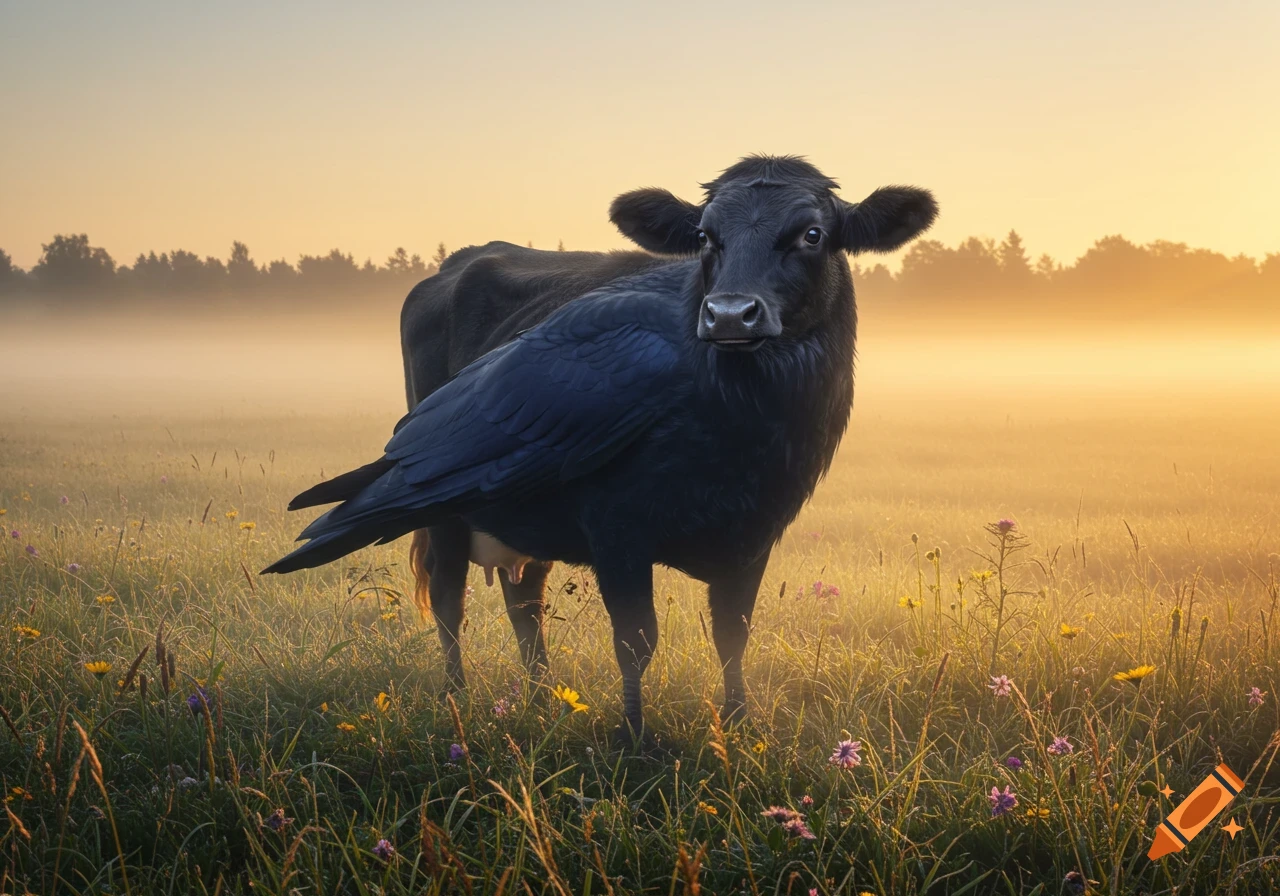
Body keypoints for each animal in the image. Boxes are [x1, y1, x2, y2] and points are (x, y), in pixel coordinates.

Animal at [264, 156, 937, 746]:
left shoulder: (755, 532)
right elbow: (636, 641)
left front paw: (740, 730)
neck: (742, 417)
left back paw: (540, 700)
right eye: (705, 236)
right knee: (451, 599)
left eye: (811, 235)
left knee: (525, 601)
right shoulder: (619, 527)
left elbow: (733, 636)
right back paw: (458, 699)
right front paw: (634, 739)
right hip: (444, 496)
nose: (729, 314)